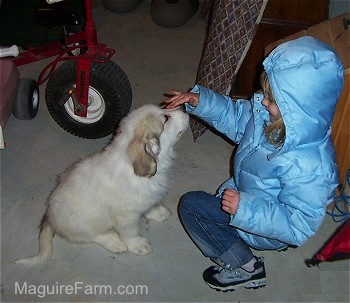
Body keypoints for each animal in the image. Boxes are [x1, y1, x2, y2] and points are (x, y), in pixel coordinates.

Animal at [15, 104, 189, 266]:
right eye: (166, 118)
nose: (185, 109)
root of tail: (49, 215)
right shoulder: (126, 216)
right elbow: (130, 232)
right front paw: (138, 245)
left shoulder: (145, 200)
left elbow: (149, 207)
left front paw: (159, 213)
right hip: (85, 221)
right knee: (91, 236)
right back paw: (115, 243)